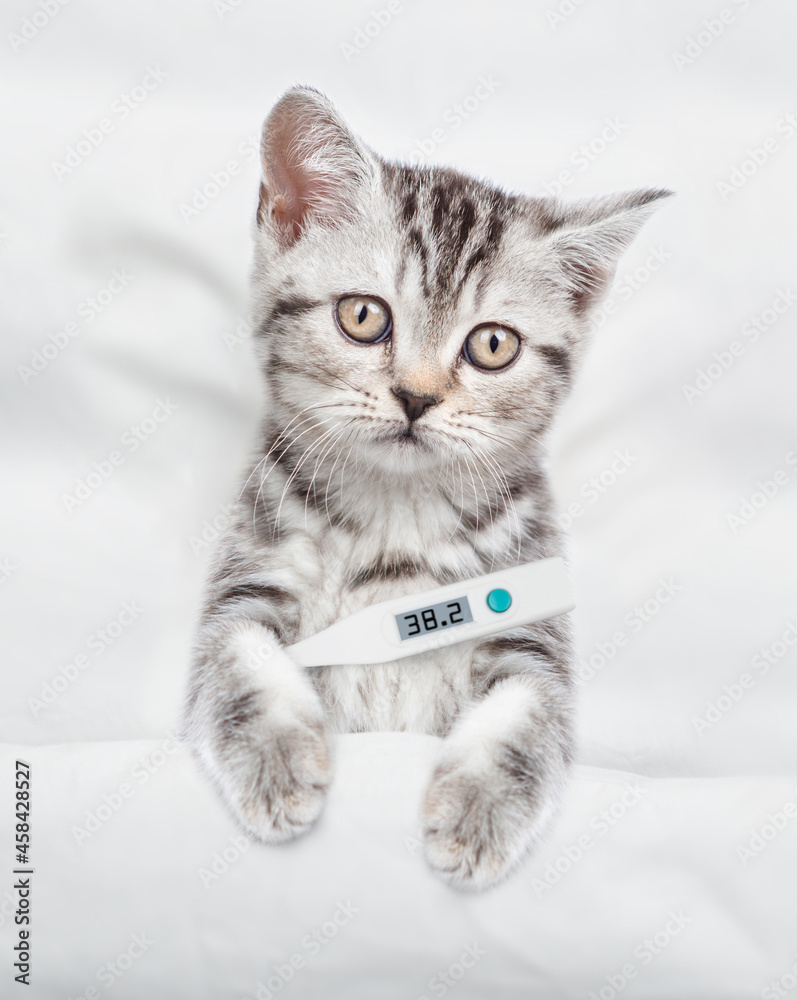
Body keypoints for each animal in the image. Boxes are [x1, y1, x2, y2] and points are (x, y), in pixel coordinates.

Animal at [179, 82, 664, 888]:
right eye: (363, 315)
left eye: (492, 345)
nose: (415, 396)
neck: (395, 526)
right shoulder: (249, 574)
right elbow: (237, 656)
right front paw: (275, 764)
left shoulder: (533, 630)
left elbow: (528, 712)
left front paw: (477, 812)